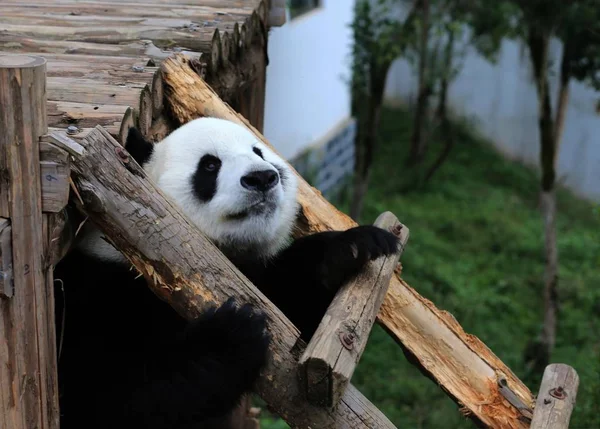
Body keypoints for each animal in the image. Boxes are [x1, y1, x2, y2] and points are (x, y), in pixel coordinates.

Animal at [52, 117, 398, 428]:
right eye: (209, 165)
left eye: (258, 152)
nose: (262, 178)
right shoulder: (98, 291)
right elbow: (108, 395)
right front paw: (230, 335)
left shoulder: (249, 273)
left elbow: (292, 308)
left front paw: (354, 247)